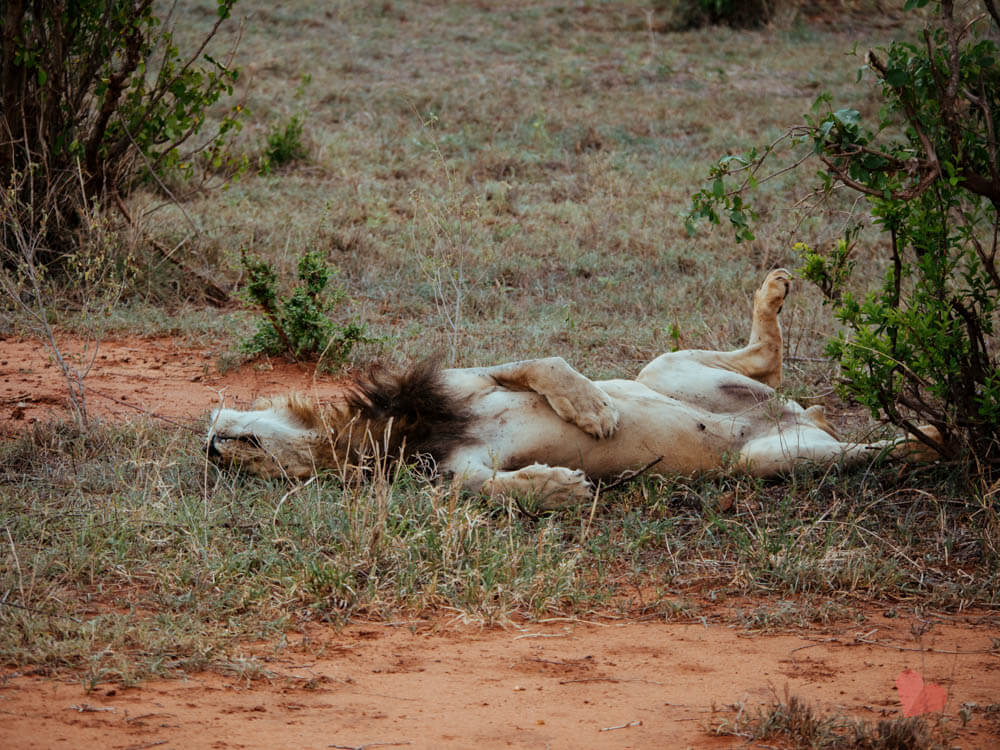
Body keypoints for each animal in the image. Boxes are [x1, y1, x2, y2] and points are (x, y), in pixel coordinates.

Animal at [205, 270, 936, 512]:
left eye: (244, 456)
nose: (209, 450)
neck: (381, 430)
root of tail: (799, 417)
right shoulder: (460, 468)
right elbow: (481, 488)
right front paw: (557, 488)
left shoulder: (467, 377)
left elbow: (541, 362)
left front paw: (592, 410)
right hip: (768, 459)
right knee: (855, 440)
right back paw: (927, 441)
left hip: (666, 371)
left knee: (769, 366)